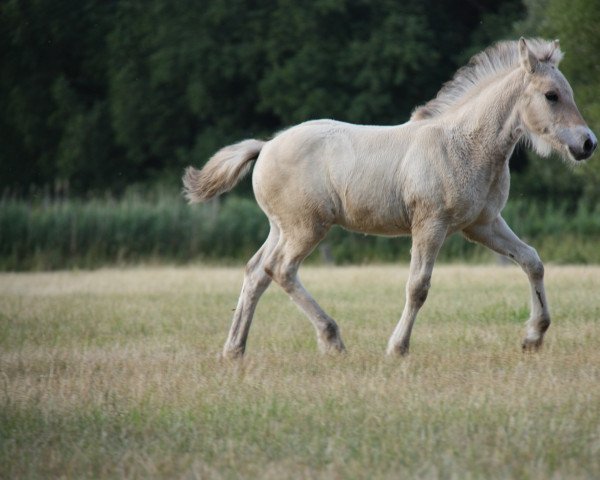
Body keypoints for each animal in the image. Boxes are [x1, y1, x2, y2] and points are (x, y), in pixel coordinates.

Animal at [183, 37, 596, 358]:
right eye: (551, 95)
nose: (588, 143)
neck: (464, 144)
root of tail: (266, 146)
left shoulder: (483, 224)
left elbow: (532, 261)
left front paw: (533, 336)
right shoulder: (431, 224)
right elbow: (418, 287)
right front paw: (398, 347)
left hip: (281, 228)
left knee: (256, 272)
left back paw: (234, 350)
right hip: (306, 228)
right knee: (280, 270)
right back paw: (331, 340)